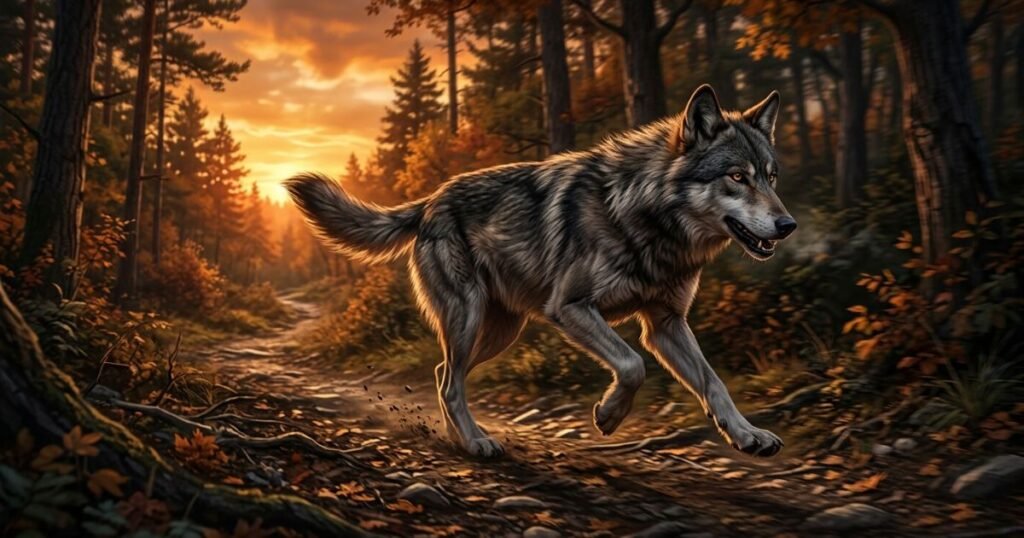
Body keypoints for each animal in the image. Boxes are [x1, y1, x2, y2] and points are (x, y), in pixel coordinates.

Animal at [286, 85, 797, 458]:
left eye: (771, 177)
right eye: (737, 177)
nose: (787, 225)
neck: (645, 217)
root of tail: (430, 200)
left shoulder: (666, 324)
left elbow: (713, 384)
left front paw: (747, 435)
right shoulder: (571, 308)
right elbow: (631, 365)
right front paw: (609, 415)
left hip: (499, 332)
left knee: (441, 373)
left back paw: (460, 438)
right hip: (470, 319)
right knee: (450, 382)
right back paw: (476, 443)